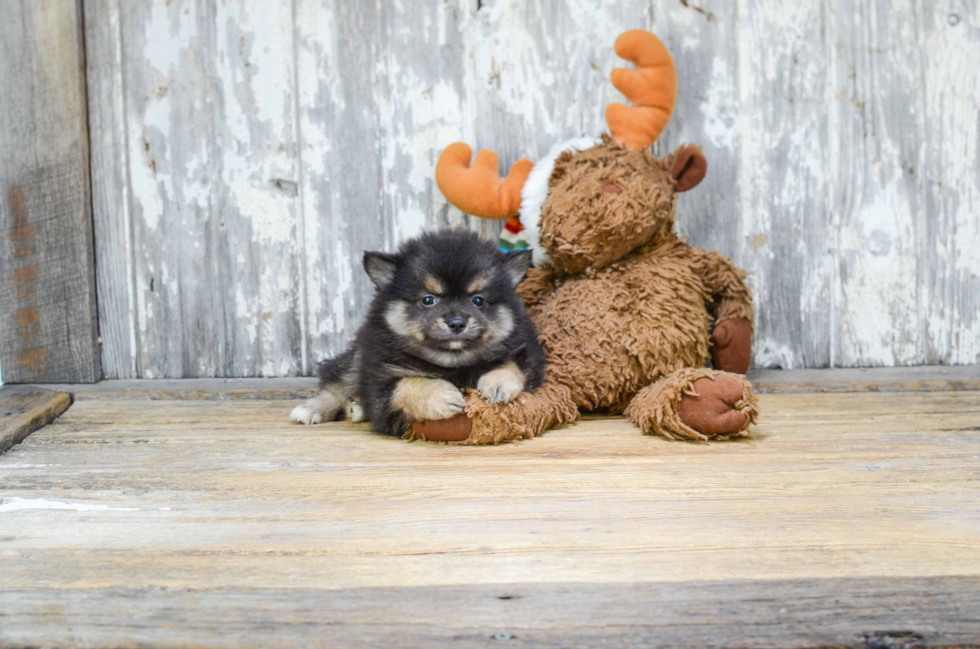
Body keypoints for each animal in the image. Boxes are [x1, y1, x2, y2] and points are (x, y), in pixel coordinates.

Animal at [290, 228, 544, 436]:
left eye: (478, 300)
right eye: (428, 300)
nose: (457, 323)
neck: (453, 363)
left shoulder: (527, 352)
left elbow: (511, 365)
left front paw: (498, 382)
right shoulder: (379, 378)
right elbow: (405, 385)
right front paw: (440, 396)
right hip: (358, 356)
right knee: (337, 384)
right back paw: (313, 409)